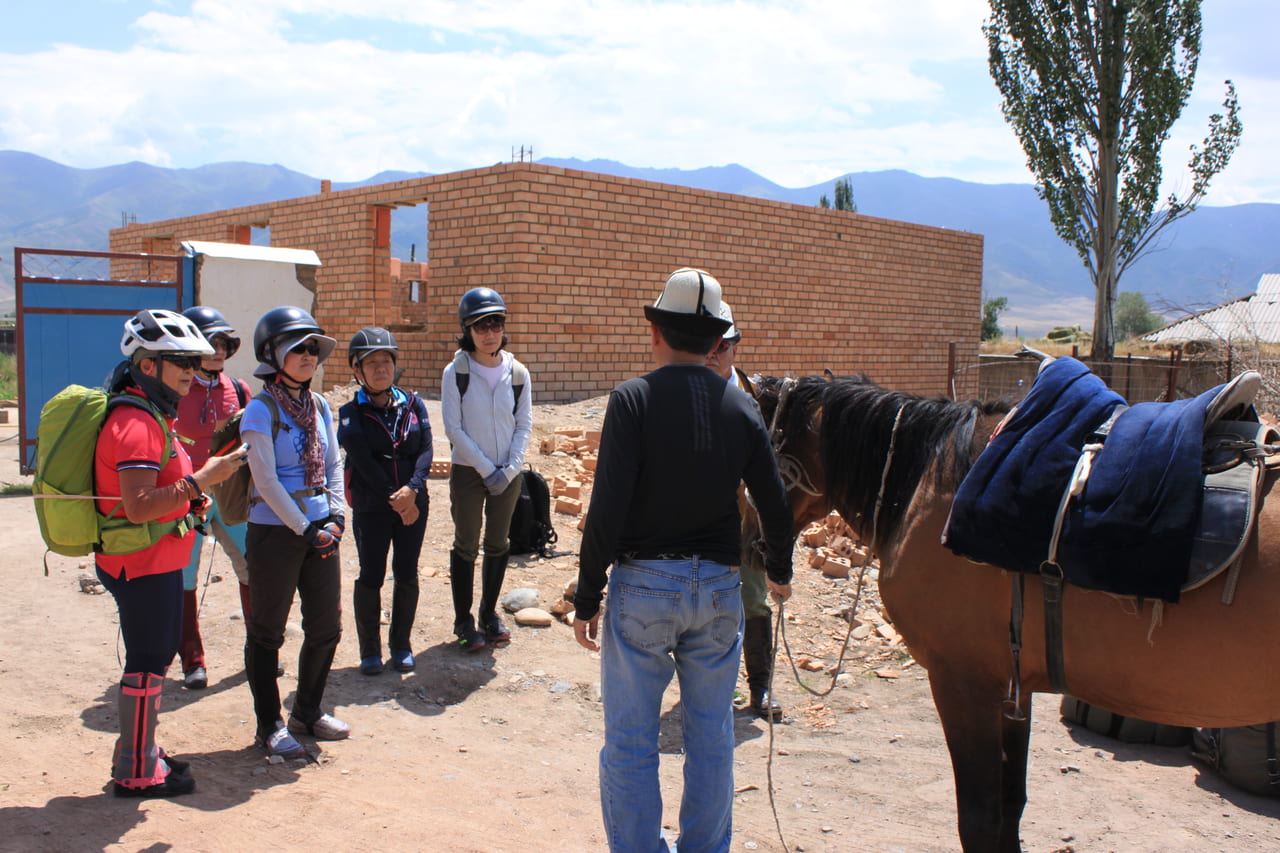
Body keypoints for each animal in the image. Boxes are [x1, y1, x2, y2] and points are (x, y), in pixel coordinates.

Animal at [747, 371, 1280, 850]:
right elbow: (1011, 804)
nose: (750, 545)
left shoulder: (964, 684)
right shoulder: (1013, 686)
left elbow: (980, 819)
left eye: (762, 448)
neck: (931, 481)